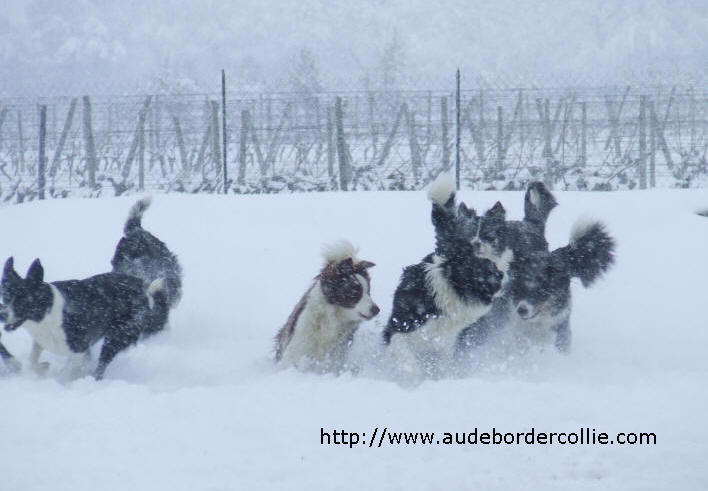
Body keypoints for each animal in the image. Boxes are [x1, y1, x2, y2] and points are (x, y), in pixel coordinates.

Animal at [1, 258, 169, 380]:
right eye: (6, 297)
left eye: (22, 300)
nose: (2, 314)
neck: (46, 314)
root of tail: (145, 291)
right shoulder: (43, 340)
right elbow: (32, 360)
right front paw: (43, 367)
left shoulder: (79, 347)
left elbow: (65, 373)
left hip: (118, 335)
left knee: (101, 365)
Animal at [384, 174, 506, 380]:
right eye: (487, 272)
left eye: (495, 268)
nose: (503, 275)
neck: (452, 291)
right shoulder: (398, 330)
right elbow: (409, 363)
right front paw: (414, 381)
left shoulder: (446, 344)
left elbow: (441, 368)